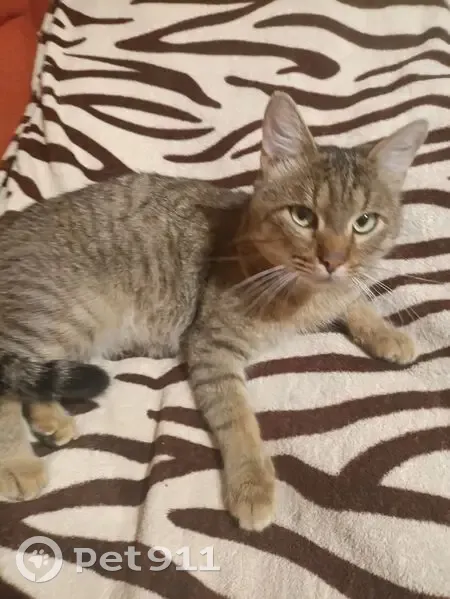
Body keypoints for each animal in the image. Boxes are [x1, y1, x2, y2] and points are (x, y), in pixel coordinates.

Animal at [0, 91, 427, 531]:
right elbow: (237, 417)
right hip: (61, 315)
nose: (333, 260)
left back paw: (51, 419)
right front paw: (253, 483)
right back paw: (18, 463)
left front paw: (386, 332)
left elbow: (354, 298)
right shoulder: (212, 346)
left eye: (364, 222)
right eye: (303, 216)